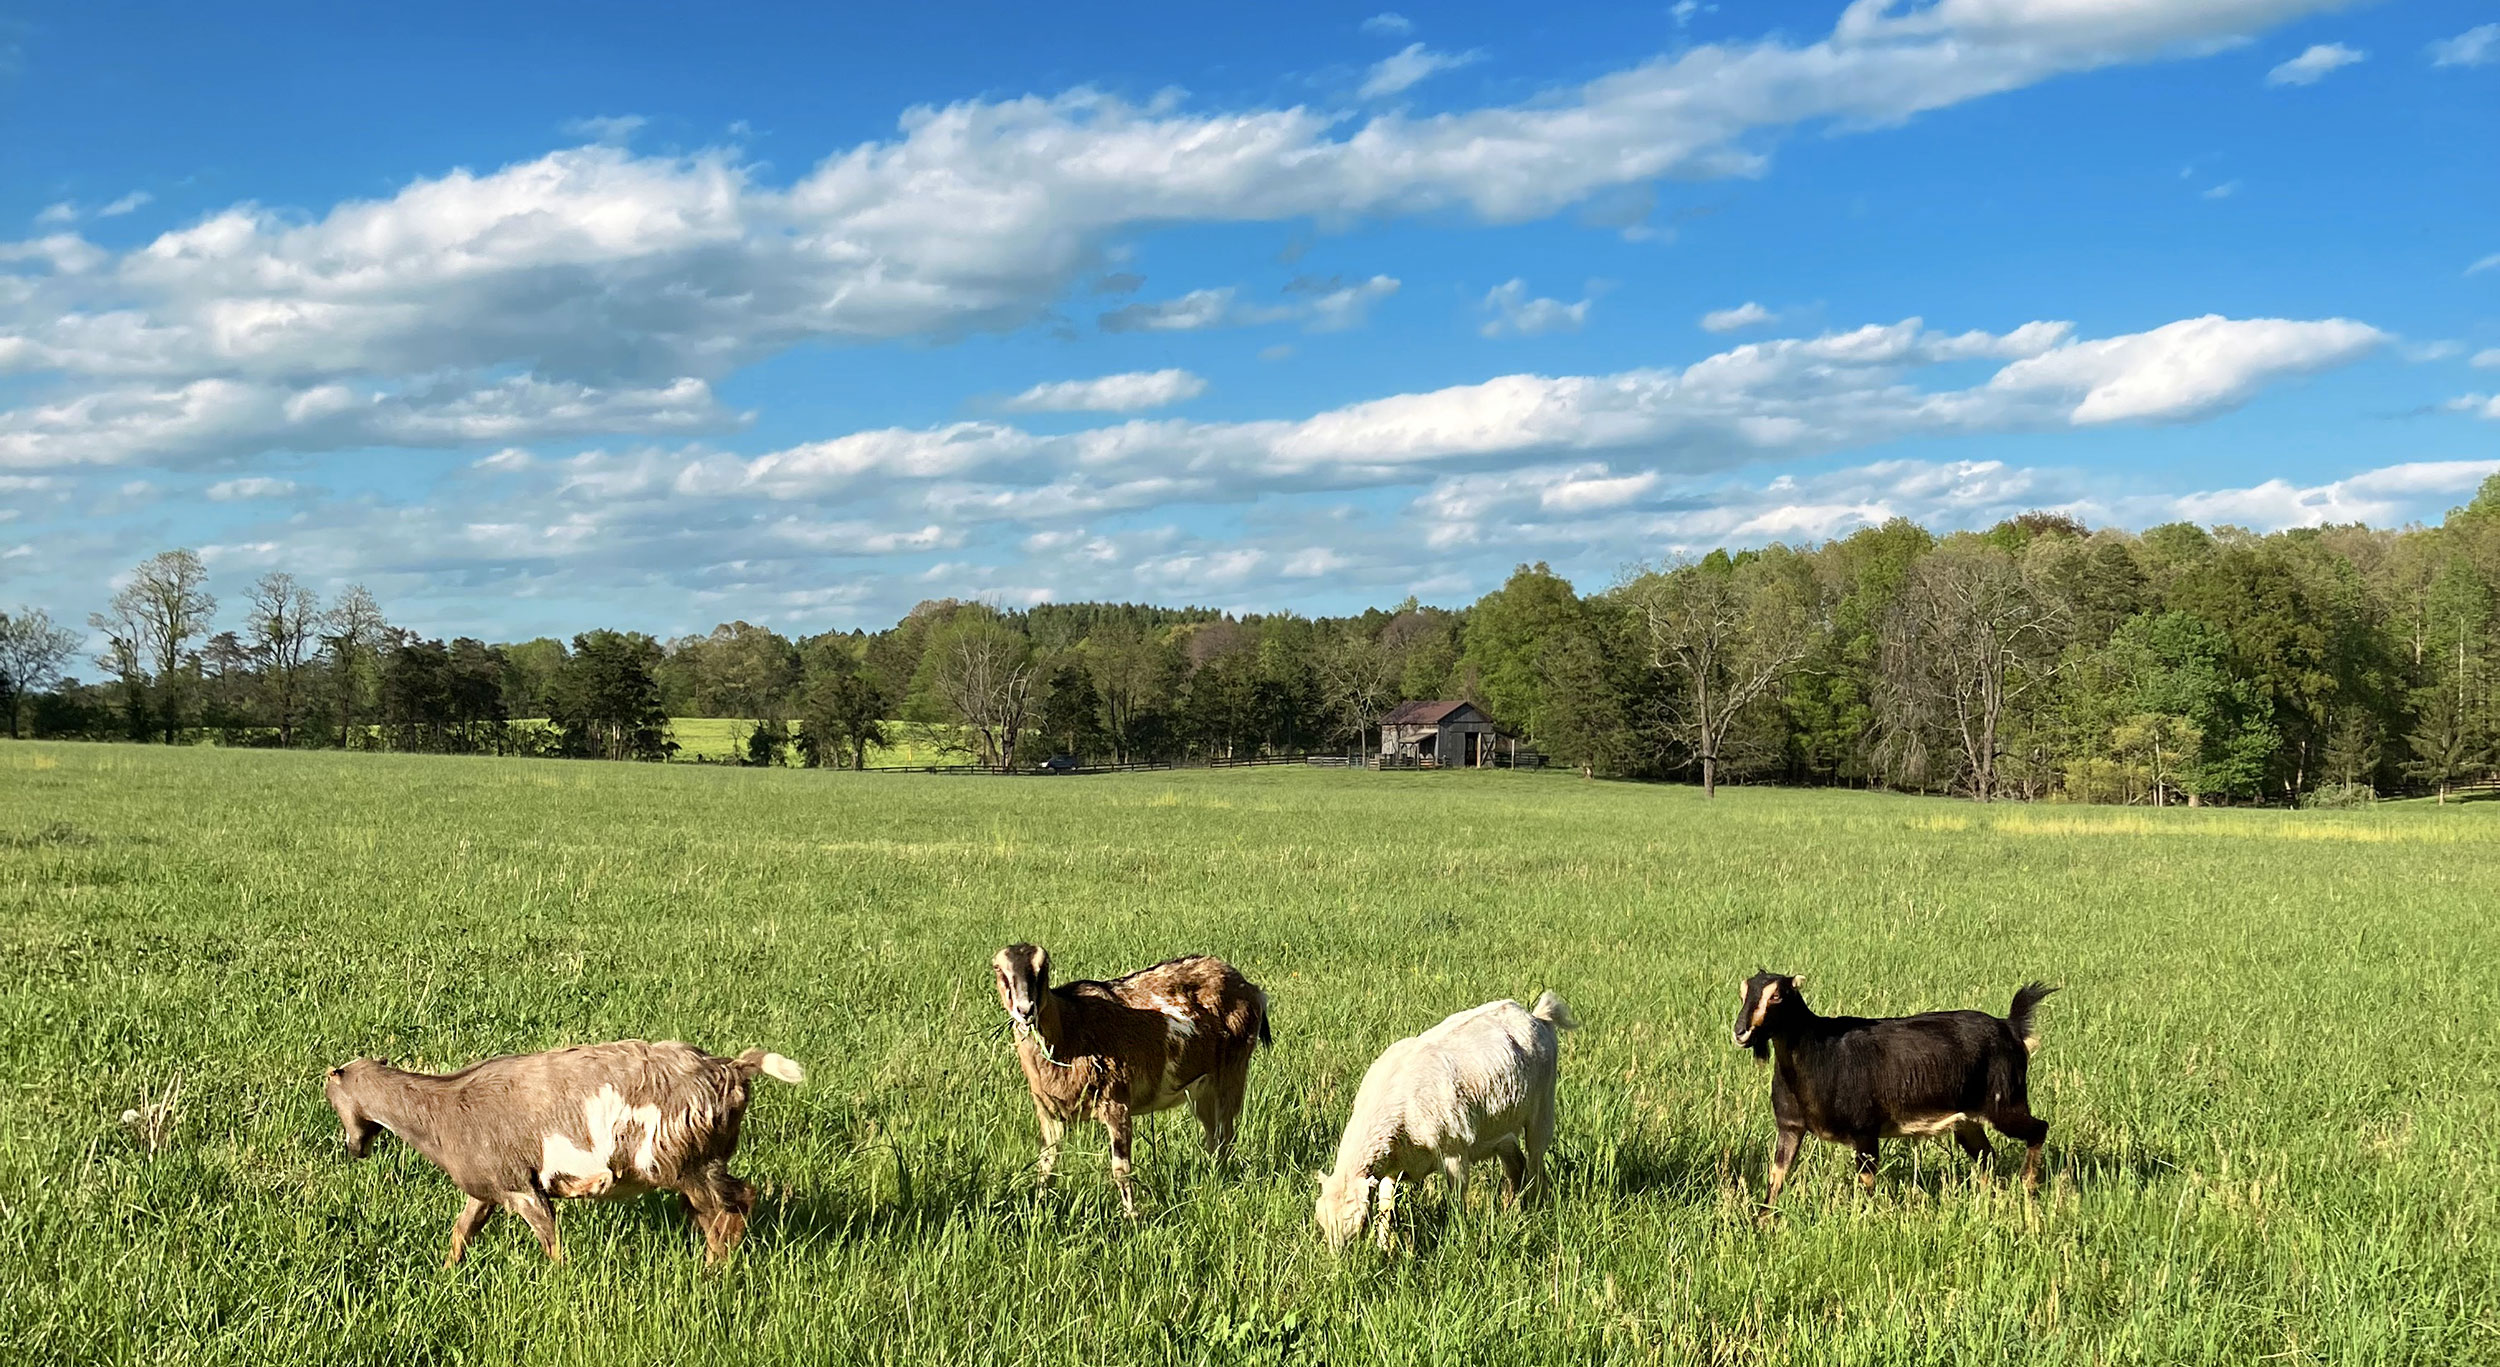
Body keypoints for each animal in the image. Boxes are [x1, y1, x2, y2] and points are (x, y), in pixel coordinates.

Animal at [327, 1044, 800, 1269]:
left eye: (331, 1097)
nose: (355, 1148)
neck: (443, 1107)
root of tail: (732, 1069)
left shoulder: (522, 1188)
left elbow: (550, 1240)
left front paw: (560, 1283)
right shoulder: (487, 1189)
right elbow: (462, 1232)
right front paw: (447, 1275)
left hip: (688, 1161)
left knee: (731, 1209)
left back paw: (713, 1273)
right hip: (698, 1165)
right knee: (723, 1209)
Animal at [990, 939, 1270, 1219]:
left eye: (1044, 967)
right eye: (998, 969)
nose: (1025, 1010)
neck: (1070, 1029)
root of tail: (1252, 990)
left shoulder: (1116, 1100)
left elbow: (1121, 1169)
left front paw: (1131, 1217)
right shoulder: (1049, 1112)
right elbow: (1046, 1164)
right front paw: (1038, 1211)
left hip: (1232, 1071)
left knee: (1226, 1133)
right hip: (1203, 1089)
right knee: (1213, 1136)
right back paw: (1214, 1177)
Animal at [1320, 989, 1570, 1259]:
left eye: (1359, 1222)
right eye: (1322, 1221)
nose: (1338, 1258)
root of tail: (1535, 1016)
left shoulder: (1454, 1152)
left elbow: (1456, 1203)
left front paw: (1458, 1239)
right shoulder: (1393, 1166)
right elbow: (1386, 1209)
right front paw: (1384, 1248)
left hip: (1542, 1109)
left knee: (1535, 1162)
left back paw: (1535, 1206)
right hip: (1500, 1129)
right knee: (1515, 1162)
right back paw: (1512, 1209)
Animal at [1730, 974, 2060, 1209]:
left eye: (1776, 995)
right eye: (1743, 993)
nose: (1740, 1032)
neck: (1819, 1051)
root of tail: (2011, 1027)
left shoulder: (1864, 1129)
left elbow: (1866, 1179)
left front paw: (1864, 1217)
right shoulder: (1790, 1127)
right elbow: (1777, 1176)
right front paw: (1762, 1223)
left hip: (2004, 1102)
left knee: (2039, 1128)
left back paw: (2028, 1185)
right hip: (1968, 1120)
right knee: (1986, 1156)